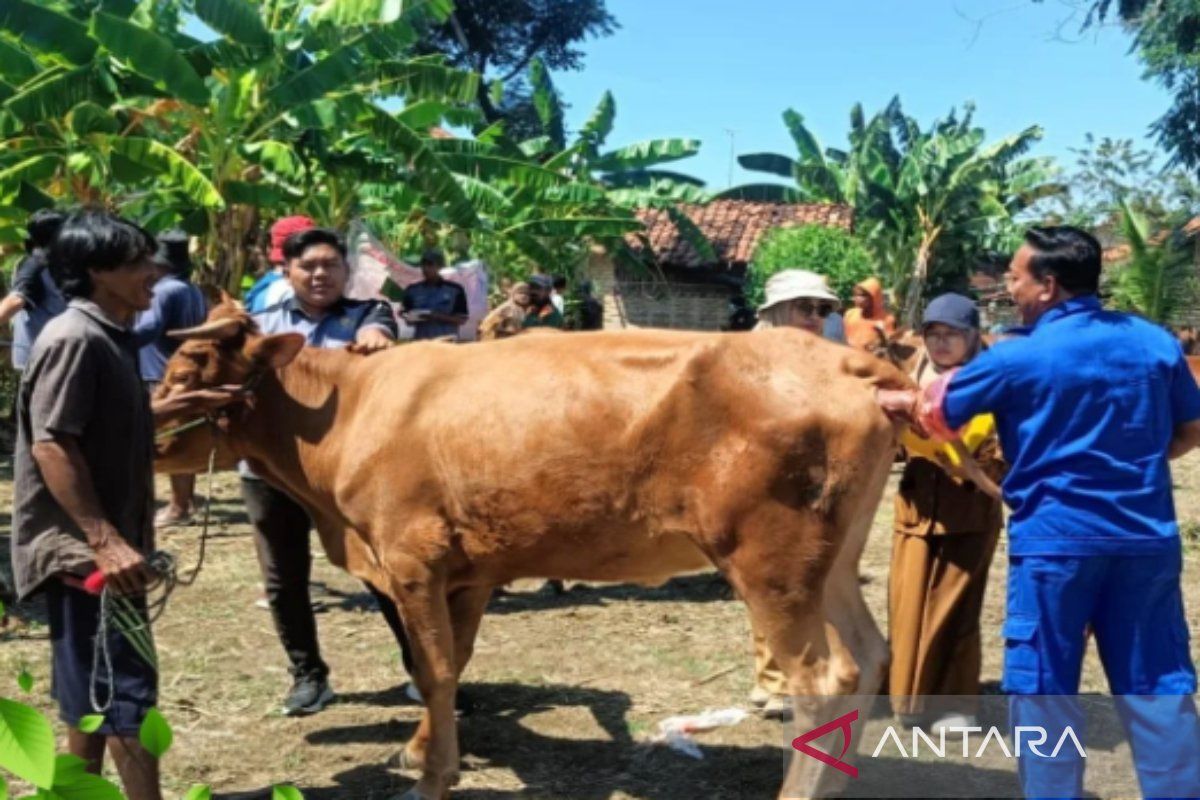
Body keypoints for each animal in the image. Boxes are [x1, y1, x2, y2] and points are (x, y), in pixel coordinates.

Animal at [157, 302, 907, 800]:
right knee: (869, 654)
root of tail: (843, 359)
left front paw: (433, 776)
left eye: (191, 364)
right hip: (831, 562)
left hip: (771, 564)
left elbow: (432, 670)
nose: (146, 425)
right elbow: (448, 665)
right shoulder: (467, 573)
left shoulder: (411, 558)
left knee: (821, 681)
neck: (348, 411)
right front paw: (420, 749)